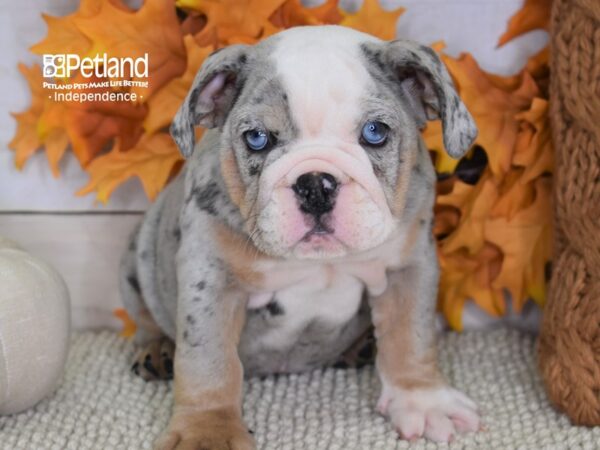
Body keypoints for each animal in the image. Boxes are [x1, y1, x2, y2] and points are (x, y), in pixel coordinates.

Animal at [119, 25, 480, 450]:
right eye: (257, 138)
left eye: (375, 132)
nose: (315, 185)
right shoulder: (209, 276)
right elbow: (208, 360)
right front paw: (207, 432)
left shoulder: (409, 263)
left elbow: (412, 333)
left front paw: (424, 402)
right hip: (136, 253)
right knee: (146, 318)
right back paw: (157, 350)